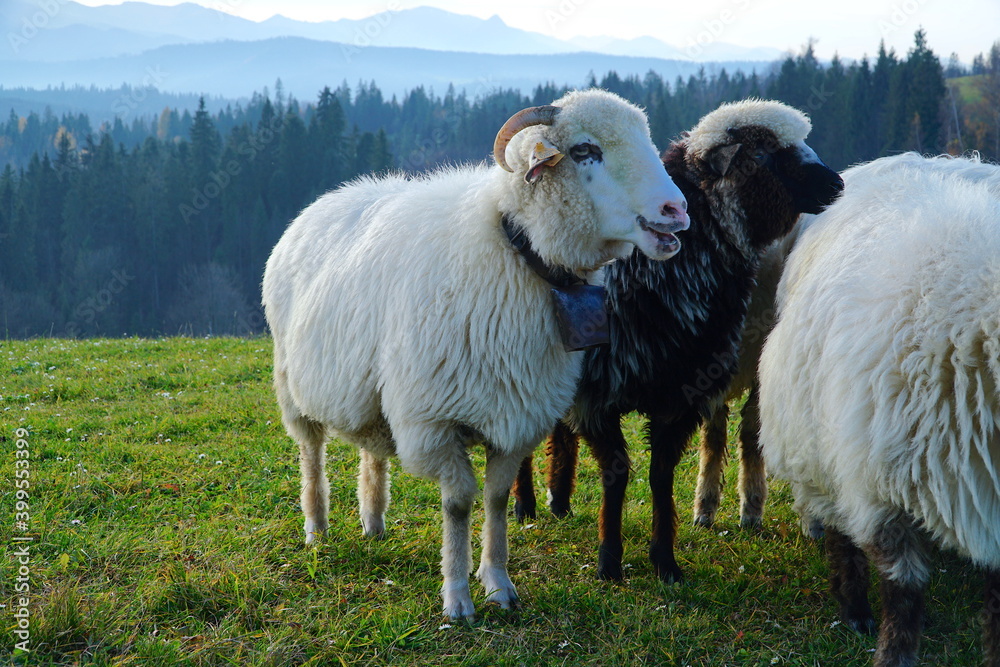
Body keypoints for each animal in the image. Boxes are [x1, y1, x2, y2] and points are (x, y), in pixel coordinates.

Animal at [261, 89, 690, 619]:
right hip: (291, 385)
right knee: (311, 452)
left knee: (371, 447)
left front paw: (499, 584)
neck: (516, 252)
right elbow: (459, 504)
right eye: (585, 150)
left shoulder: (518, 417)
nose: (676, 209)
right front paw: (457, 597)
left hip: (371, 392)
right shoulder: (434, 421)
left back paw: (373, 521)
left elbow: (497, 498)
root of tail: (330, 197)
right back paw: (317, 529)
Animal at [511, 98, 844, 583]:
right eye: (764, 152)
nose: (837, 183)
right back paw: (525, 504)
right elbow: (617, 473)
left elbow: (660, 476)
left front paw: (665, 560)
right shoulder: (598, 396)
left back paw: (559, 500)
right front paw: (609, 560)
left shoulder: (682, 392)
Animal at [759, 152, 1000, 666]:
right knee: (838, 528)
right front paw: (893, 653)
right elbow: (903, 588)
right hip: (821, 444)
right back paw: (854, 608)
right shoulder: (881, 486)